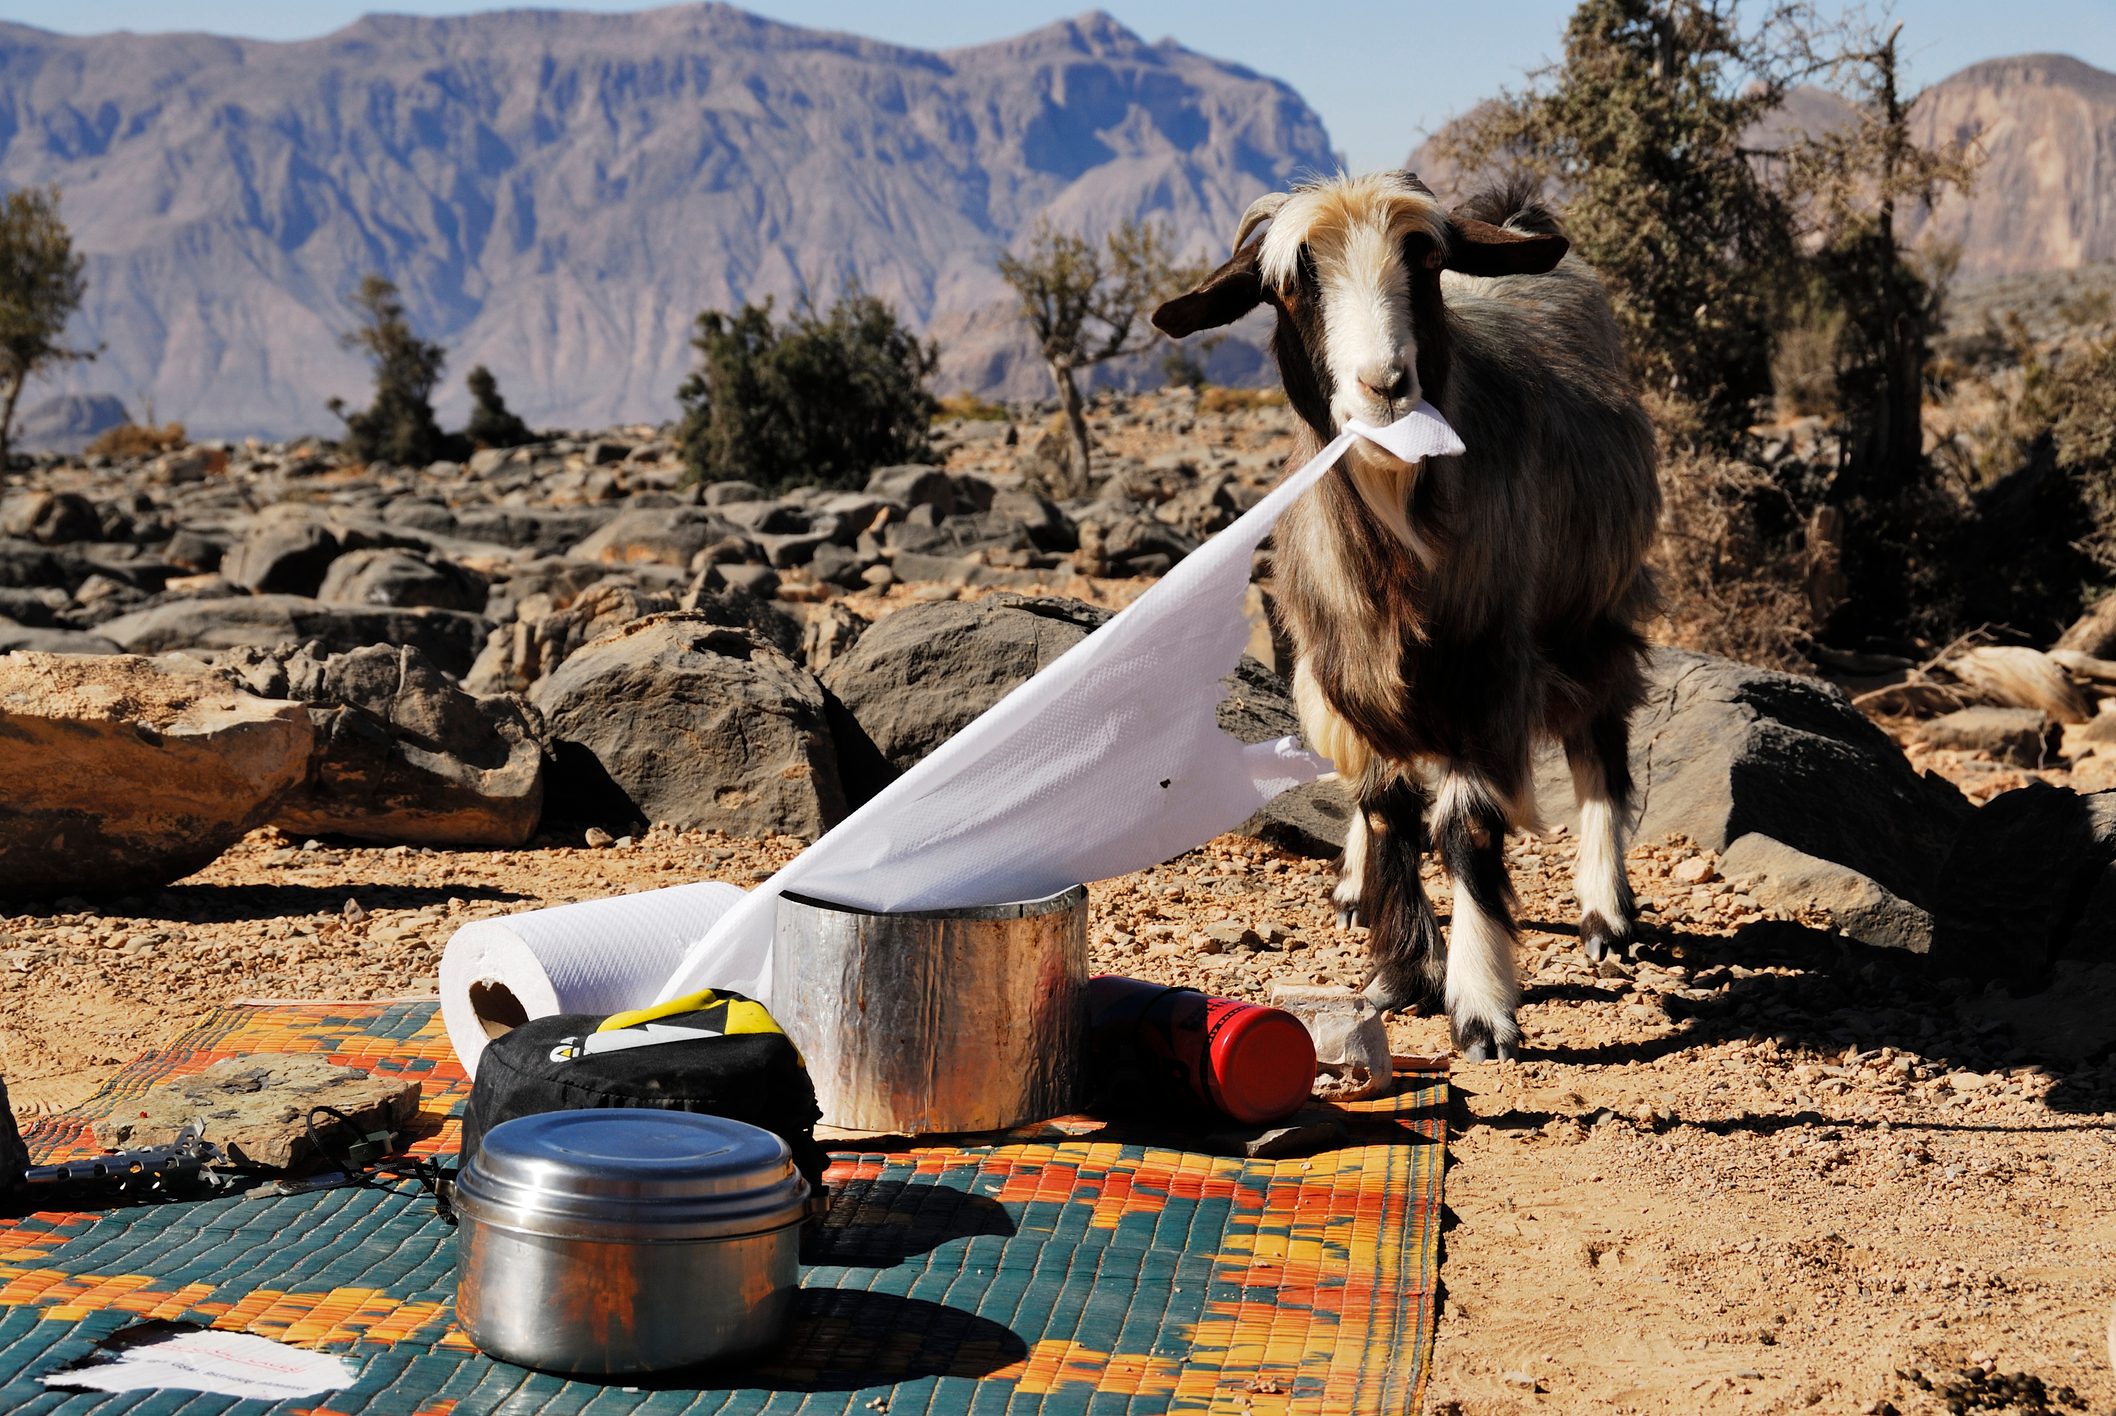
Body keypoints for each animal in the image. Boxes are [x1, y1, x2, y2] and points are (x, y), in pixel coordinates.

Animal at [1152, 171, 1660, 1059]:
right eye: (1291, 284)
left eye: (1423, 261)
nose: (1385, 386)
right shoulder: (1344, 666)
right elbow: (1388, 809)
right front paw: (1401, 971)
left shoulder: (1489, 670)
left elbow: (1467, 829)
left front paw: (1480, 1006)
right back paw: (1358, 889)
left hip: (1593, 604)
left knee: (1600, 742)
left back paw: (1606, 913)